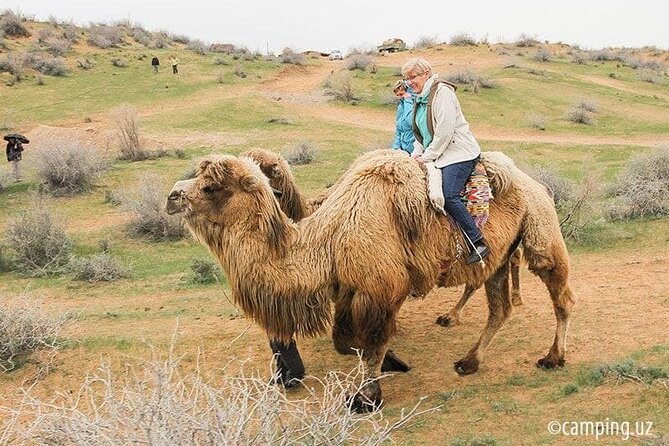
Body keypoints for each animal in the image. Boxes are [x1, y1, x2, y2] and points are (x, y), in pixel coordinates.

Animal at [166, 149, 575, 410]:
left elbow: (372, 341)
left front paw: (365, 398)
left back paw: (553, 358)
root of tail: (537, 184)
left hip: (540, 232)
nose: (172, 196)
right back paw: (468, 362)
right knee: (499, 308)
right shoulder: (350, 289)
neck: (328, 237)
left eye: (212, 187)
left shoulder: (381, 289)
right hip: (501, 256)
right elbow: (347, 340)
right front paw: (393, 364)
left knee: (561, 294)